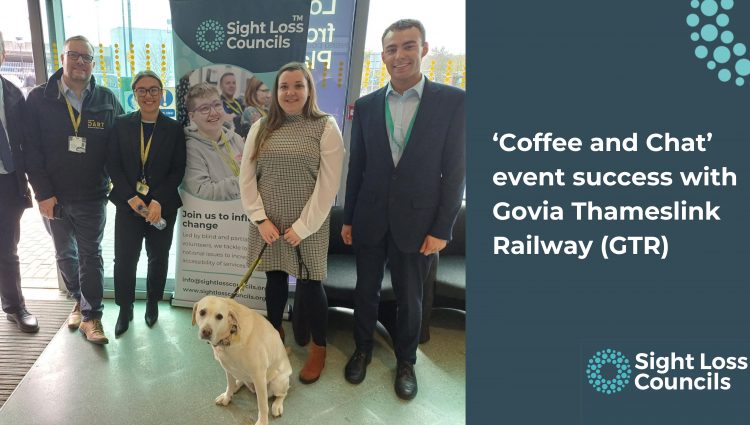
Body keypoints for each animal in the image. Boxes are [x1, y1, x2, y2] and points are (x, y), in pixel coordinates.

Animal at [194, 294, 294, 424]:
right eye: (202, 312)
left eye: (219, 316)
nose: (206, 332)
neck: (231, 336)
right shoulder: (227, 367)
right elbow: (229, 384)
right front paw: (227, 397)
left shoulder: (258, 376)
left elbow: (262, 404)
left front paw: (262, 421)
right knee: (240, 381)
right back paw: (235, 387)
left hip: (278, 382)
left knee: (282, 394)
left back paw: (277, 405)